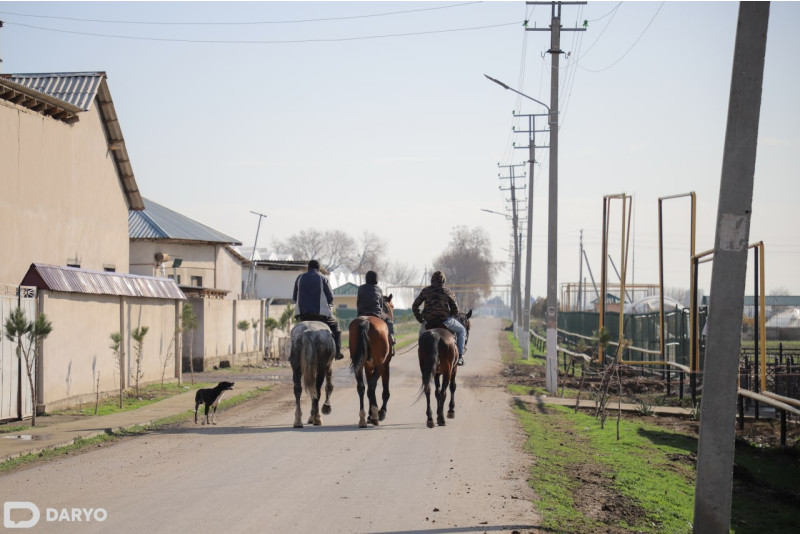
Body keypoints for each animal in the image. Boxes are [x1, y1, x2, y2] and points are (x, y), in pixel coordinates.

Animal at [350, 296, 396, 430]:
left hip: (359, 366)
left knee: (362, 387)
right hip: (380, 365)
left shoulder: (368, 367)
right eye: (392, 306)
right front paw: (381, 413)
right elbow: (384, 391)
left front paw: (370, 414)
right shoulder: (385, 366)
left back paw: (362, 418)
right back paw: (375, 416)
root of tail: (366, 322)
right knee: (371, 386)